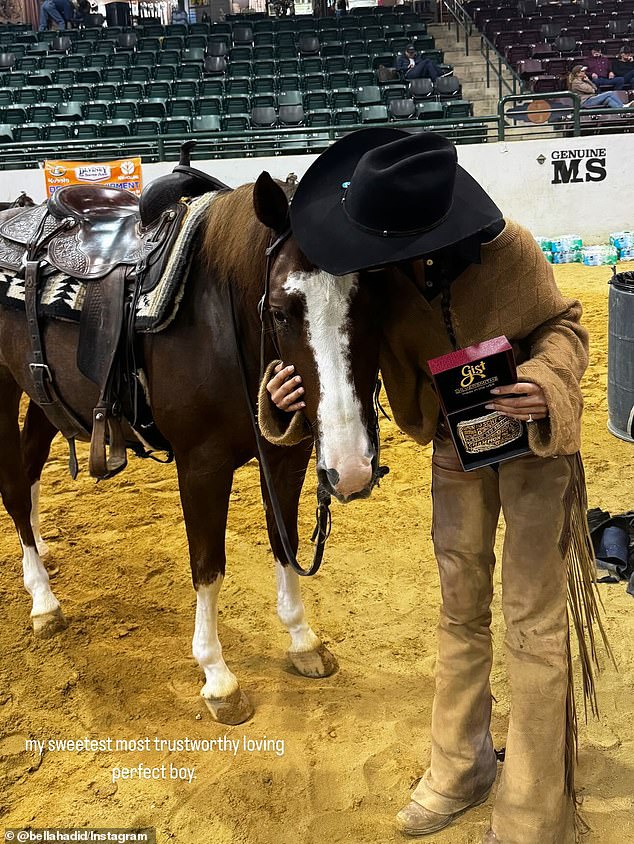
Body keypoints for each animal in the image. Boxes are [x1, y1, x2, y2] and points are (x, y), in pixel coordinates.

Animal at [0, 176, 378, 724]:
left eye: (372, 299)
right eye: (281, 312)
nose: (351, 469)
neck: (219, 318)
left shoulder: (285, 456)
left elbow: (283, 542)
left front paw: (302, 640)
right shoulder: (202, 465)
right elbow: (208, 568)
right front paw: (218, 677)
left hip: (46, 394)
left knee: (29, 469)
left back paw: (43, 555)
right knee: (12, 483)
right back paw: (43, 601)